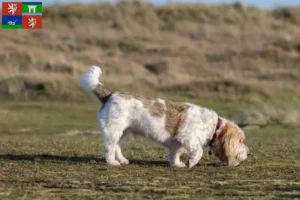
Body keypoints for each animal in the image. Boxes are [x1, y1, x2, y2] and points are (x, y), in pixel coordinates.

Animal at [78, 65, 250, 167]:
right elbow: (198, 152)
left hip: (122, 132)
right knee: (109, 147)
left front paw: (177, 164)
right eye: (241, 141)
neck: (214, 127)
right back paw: (112, 162)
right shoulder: (188, 138)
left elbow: (175, 153)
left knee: (117, 147)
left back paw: (122, 160)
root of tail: (110, 95)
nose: (249, 153)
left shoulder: (178, 143)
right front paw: (191, 162)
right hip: (113, 131)